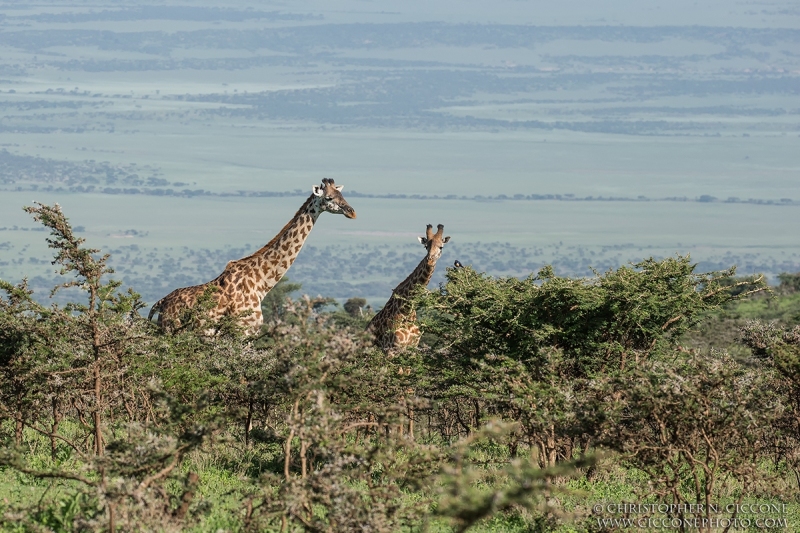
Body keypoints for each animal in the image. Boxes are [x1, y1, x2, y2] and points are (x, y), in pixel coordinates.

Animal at [148, 179, 354, 332]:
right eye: (329, 197)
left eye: (342, 195)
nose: (352, 212)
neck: (261, 282)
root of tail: (161, 302)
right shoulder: (242, 331)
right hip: (171, 329)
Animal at [368, 222, 450, 352]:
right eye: (426, 246)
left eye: (441, 247)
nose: (430, 260)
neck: (407, 310)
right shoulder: (391, 348)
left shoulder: (412, 348)